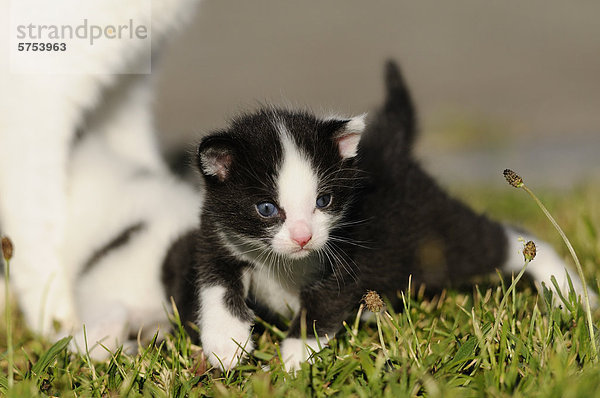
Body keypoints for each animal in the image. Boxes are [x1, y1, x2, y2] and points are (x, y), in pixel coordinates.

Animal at [178, 60, 596, 372]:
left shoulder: (349, 253)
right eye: (266, 209)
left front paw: (295, 355)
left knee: (508, 239)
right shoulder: (217, 236)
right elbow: (215, 283)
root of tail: (393, 148)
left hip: (438, 241)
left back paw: (572, 293)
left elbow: (326, 300)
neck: (282, 263)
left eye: (324, 201)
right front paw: (225, 343)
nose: (302, 237)